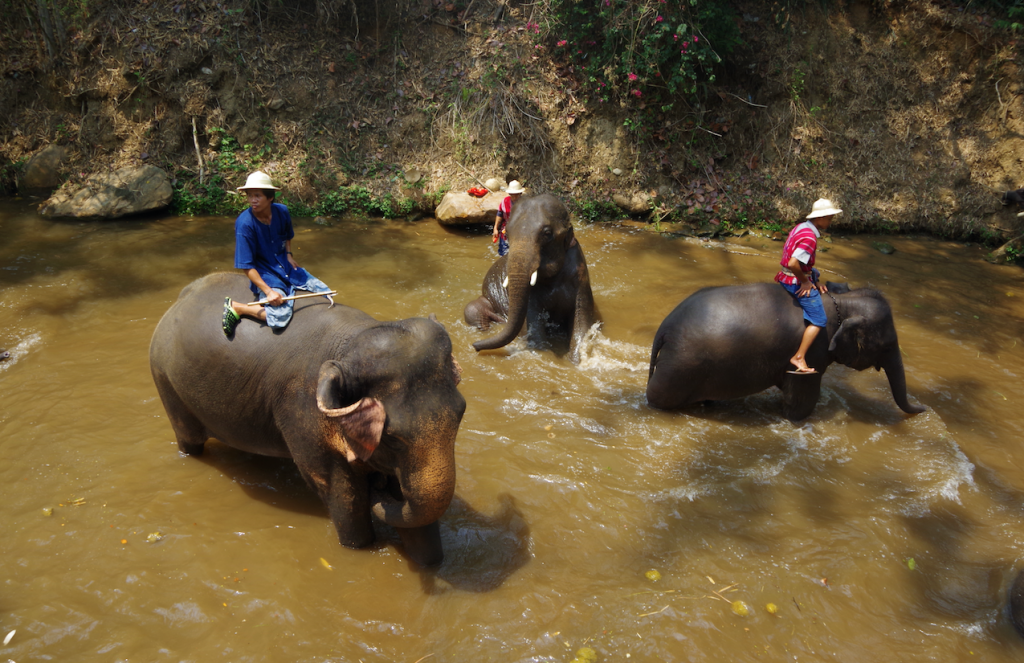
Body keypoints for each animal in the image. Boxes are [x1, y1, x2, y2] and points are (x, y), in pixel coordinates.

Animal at [149, 272, 468, 569]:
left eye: (461, 413)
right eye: (390, 437)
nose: (378, 485)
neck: (351, 342)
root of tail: (183, 295)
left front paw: (431, 562)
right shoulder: (302, 414)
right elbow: (340, 493)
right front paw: (361, 541)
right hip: (164, 378)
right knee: (189, 440)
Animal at [466, 194, 598, 364]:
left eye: (547, 233)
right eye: (507, 233)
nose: (475, 347)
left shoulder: (581, 280)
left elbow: (581, 325)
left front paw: (575, 362)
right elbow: (533, 325)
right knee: (472, 309)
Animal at [647, 280, 929, 420]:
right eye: (887, 345)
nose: (925, 409)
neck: (844, 302)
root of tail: (664, 328)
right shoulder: (814, 351)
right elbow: (802, 400)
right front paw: (793, 418)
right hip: (679, 367)